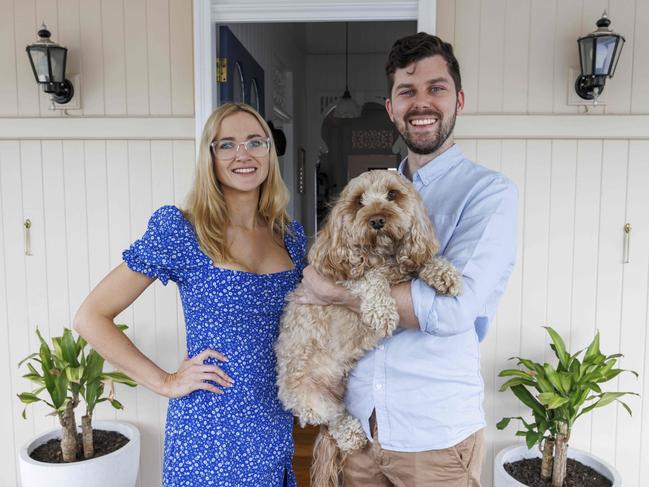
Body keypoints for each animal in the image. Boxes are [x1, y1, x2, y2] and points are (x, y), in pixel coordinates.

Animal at [274, 170, 460, 486]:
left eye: (392, 195)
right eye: (359, 201)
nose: (377, 220)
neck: (383, 254)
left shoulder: (407, 262)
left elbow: (422, 262)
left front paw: (443, 271)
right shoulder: (341, 275)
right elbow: (371, 278)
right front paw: (382, 310)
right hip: (311, 399)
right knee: (333, 419)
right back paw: (353, 437)